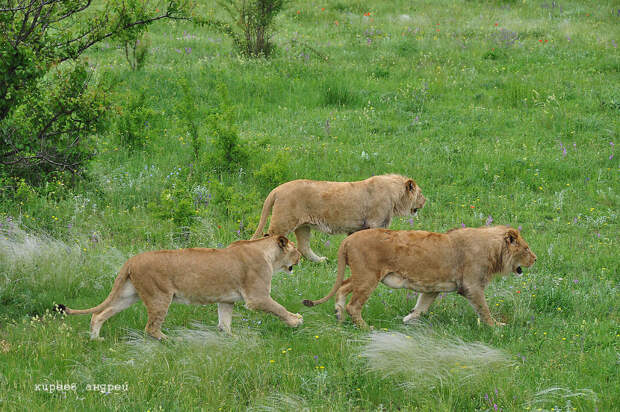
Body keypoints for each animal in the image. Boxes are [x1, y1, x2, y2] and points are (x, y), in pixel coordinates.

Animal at [58, 233, 302, 340]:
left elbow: (225, 323)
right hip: (159, 296)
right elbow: (279, 308)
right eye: (295, 249)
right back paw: (171, 342)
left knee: (99, 314)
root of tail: (131, 260)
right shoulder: (257, 297)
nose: (301, 257)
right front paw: (296, 320)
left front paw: (232, 340)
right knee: (151, 328)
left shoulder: (226, 300)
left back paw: (96, 338)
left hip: (129, 295)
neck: (267, 254)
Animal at [252, 175, 426, 262]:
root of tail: (277, 189)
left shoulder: (358, 227)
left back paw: (320, 260)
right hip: (284, 222)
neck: (395, 195)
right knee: (269, 239)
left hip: (303, 226)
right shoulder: (376, 223)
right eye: (421, 193)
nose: (425, 201)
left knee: (303, 247)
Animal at [302, 225, 536, 328]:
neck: (493, 250)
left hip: (361, 275)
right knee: (354, 305)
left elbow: (421, 308)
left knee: (342, 288)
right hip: (368, 277)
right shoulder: (472, 286)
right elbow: (484, 310)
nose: (535, 259)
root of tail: (347, 240)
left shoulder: (433, 288)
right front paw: (497, 327)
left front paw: (407, 320)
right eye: (526, 249)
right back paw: (366, 328)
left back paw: (339, 316)